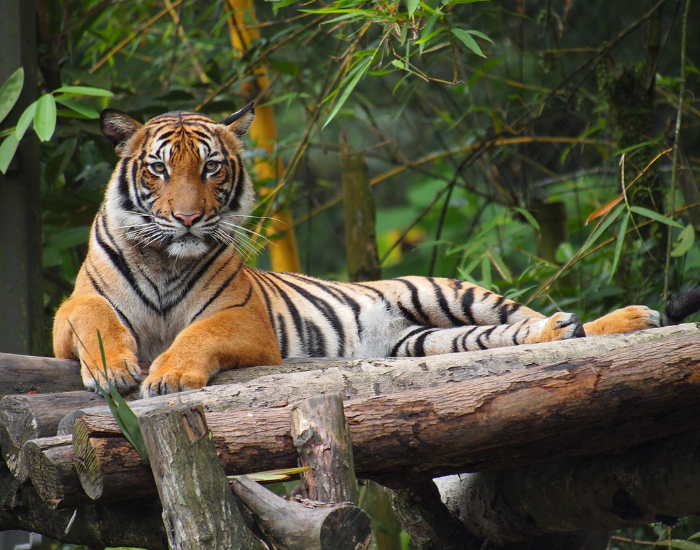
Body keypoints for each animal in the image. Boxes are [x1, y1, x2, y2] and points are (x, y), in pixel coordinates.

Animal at [52, 102, 692, 398]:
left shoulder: (241, 318)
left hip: (455, 293)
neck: (166, 259)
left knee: (538, 319)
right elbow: (93, 318)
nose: (187, 217)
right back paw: (573, 326)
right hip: (430, 341)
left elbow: (197, 335)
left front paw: (168, 377)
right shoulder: (68, 313)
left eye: (211, 167)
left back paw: (630, 318)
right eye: (158, 169)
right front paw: (113, 370)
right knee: (525, 334)